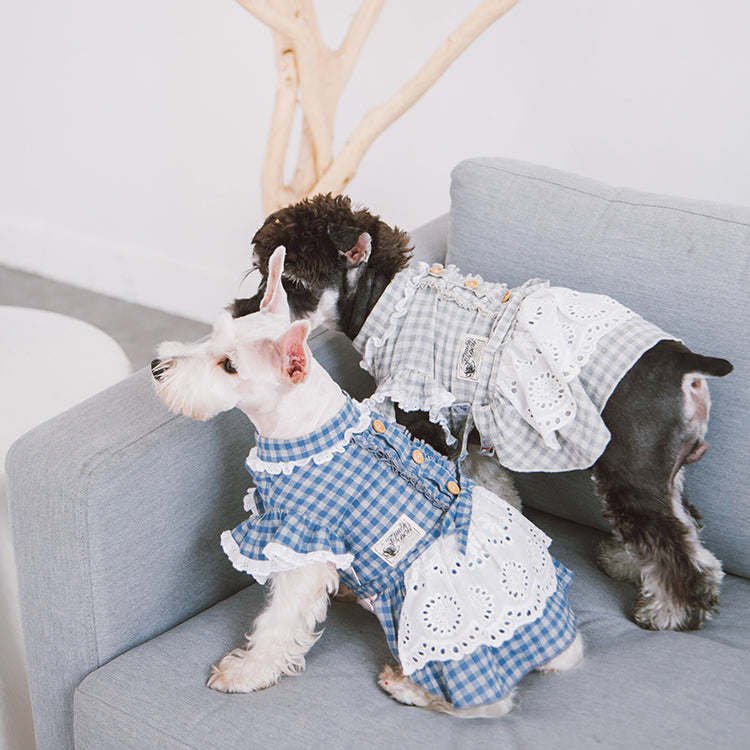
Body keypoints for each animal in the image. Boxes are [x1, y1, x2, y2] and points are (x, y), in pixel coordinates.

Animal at [152, 247, 583, 717]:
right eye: (213, 335)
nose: (156, 367)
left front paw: (245, 673)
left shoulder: (302, 544)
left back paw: (407, 686)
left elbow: (278, 622)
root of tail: (565, 641)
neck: (306, 432)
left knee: (489, 700)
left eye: (229, 365)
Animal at [231, 194, 733, 632]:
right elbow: (493, 488)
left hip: (631, 469)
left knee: (673, 543)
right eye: (260, 273)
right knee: (685, 530)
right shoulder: (469, 435)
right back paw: (632, 564)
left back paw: (671, 611)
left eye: (292, 282)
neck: (386, 301)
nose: (241, 316)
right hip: (659, 472)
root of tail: (684, 363)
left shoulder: (424, 421)